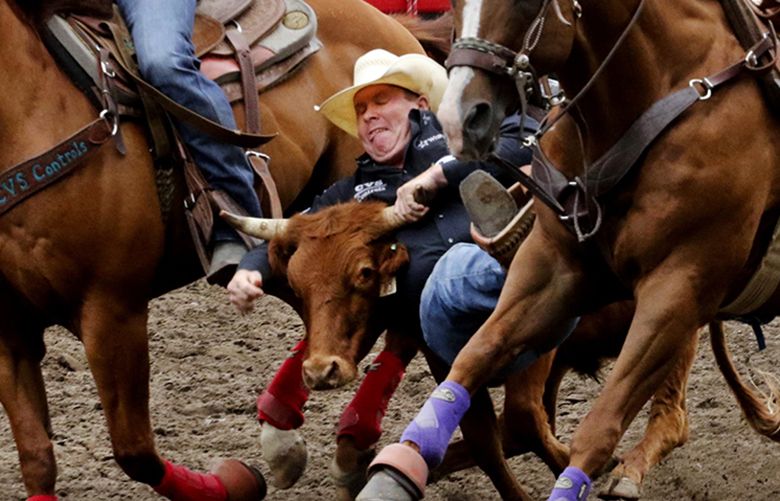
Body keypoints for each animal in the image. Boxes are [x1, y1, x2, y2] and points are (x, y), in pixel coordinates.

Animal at [0, 1, 430, 498]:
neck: (34, 112)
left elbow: (135, 451)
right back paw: (287, 433)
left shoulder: (112, 309)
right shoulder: (10, 333)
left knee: (399, 318)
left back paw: (350, 440)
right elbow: (37, 458)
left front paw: (230, 483)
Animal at [362, 0, 780, 498]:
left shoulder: (679, 289)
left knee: (670, 419)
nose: (458, 119)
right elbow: (475, 357)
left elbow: (598, 430)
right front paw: (397, 468)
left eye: (526, 3)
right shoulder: (553, 272)